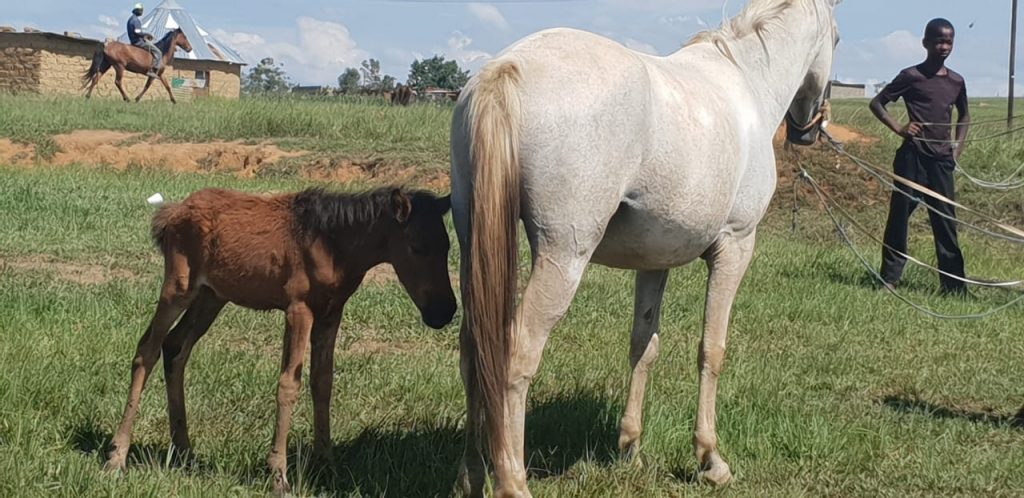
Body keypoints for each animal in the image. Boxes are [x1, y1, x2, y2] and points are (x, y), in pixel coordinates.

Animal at [103, 185, 456, 493]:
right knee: (147, 350)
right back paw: (117, 456)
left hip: (211, 296)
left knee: (176, 347)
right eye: (417, 247)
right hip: (178, 288)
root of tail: (172, 213)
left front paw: (326, 465)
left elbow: (322, 382)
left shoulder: (330, 314)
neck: (332, 245)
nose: (444, 311)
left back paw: (185, 451)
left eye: (448, 246)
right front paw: (278, 475)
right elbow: (289, 384)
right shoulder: (298, 310)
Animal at [452, 0, 843, 493]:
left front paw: (630, 446)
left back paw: (470, 474)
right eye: (837, 39)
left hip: (475, 248)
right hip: (563, 256)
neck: (747, 81)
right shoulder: (736, 246)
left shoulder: (655, 261)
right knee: (515, 355)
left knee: (474, 348)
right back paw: (513, 482)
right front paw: (711, 459)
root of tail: (508, 68)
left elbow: (644, 345)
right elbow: (712, 349)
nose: (809, 128)